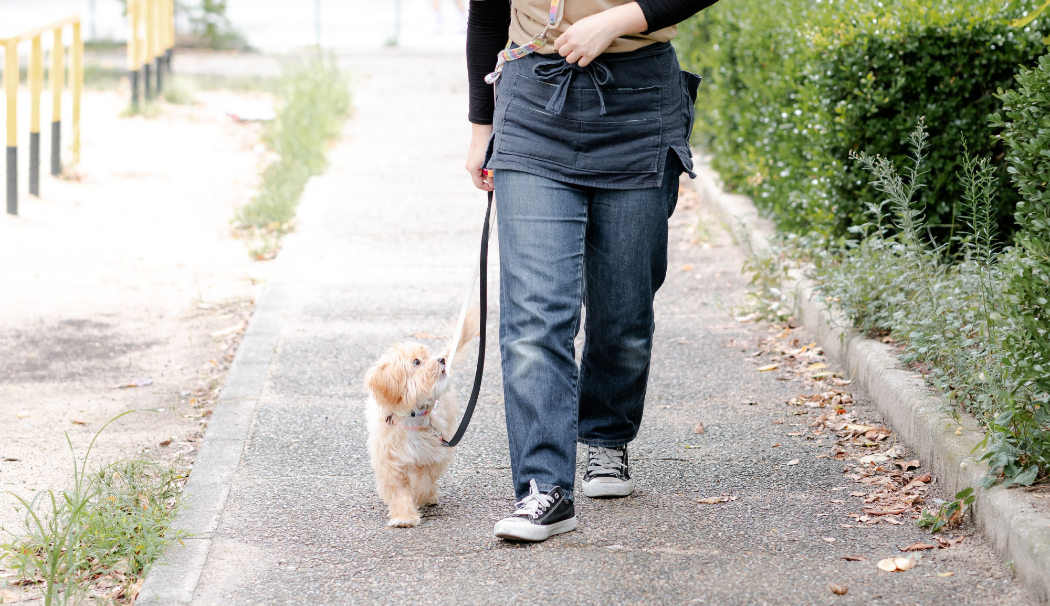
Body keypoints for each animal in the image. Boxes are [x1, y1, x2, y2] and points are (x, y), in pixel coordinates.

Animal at [365, 308, 480, 527]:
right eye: (416, 362)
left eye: (428, 355)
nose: (442, 360)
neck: (412, 416)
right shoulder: (391, 461)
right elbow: (399, 491)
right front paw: (405, 517)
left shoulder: (432, 452)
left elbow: (424, 481)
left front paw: (422, 498)